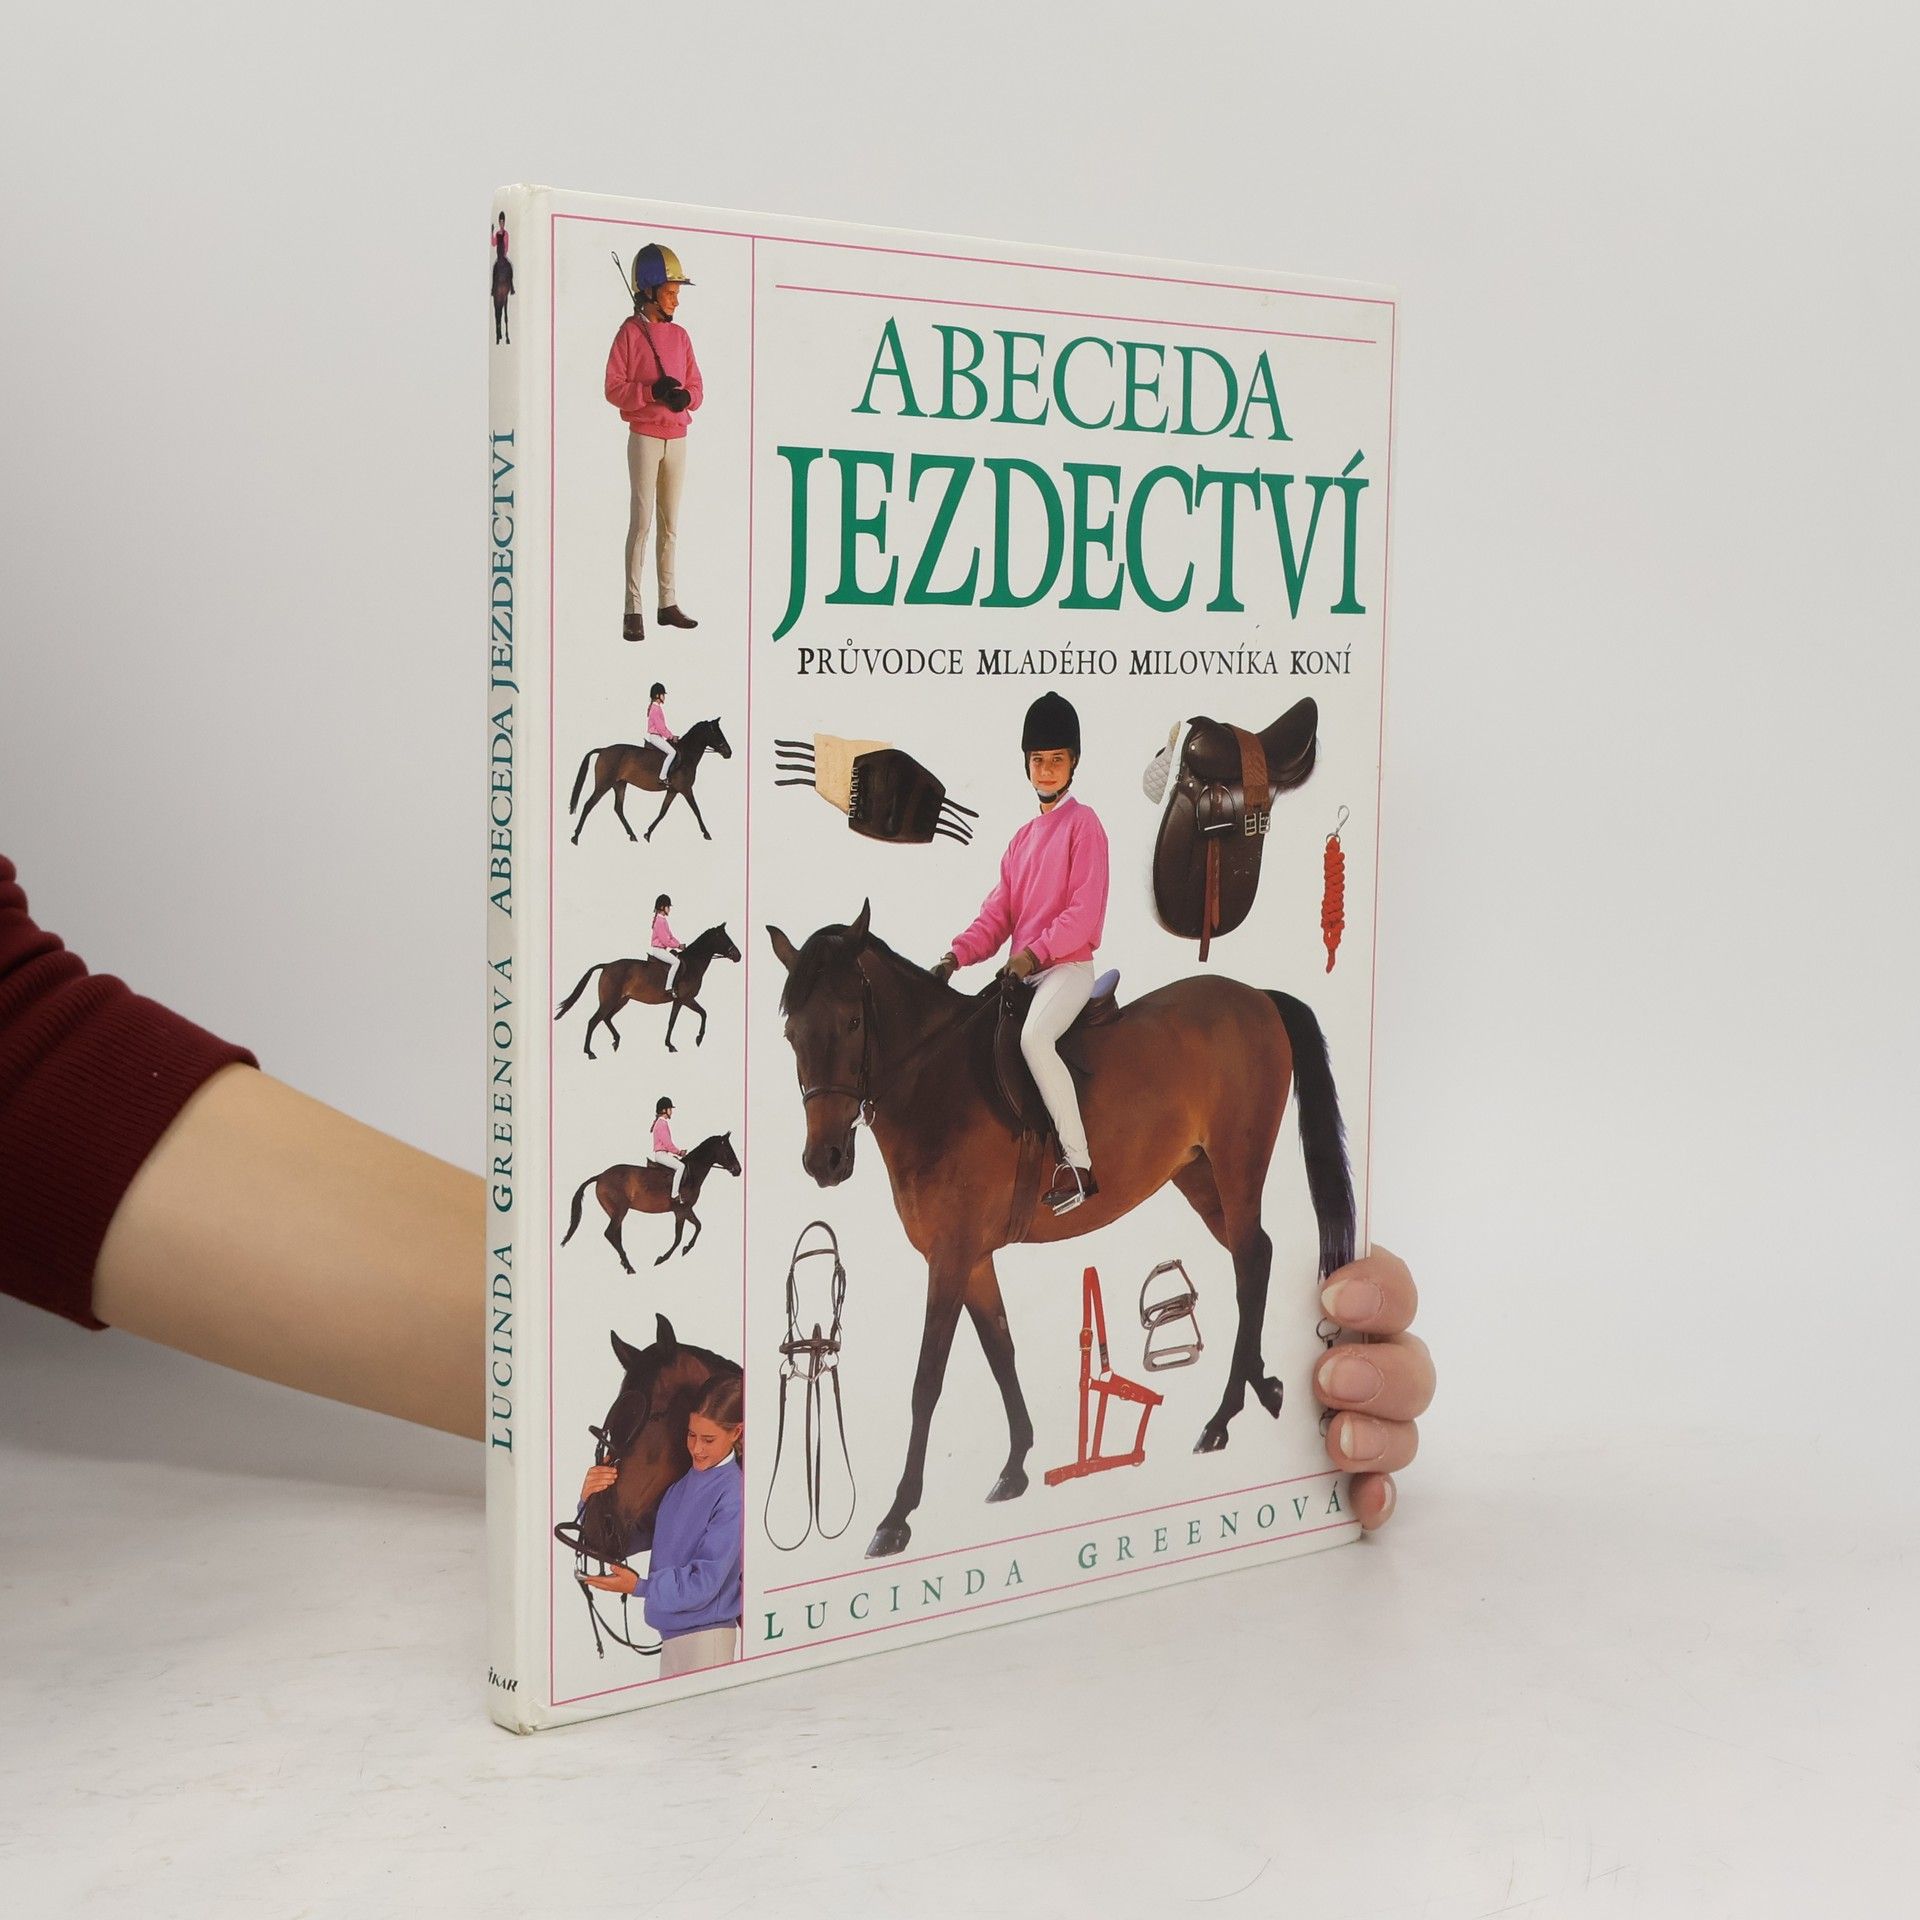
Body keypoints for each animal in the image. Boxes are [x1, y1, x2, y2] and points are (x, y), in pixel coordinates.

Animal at [554, 924, 743, 1055]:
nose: (738, 956)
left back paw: (616, 1041)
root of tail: (606, 965)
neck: (692, 964)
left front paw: (671, 1045)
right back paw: (589, 1052)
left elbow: (675, 1020)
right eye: (725, 938)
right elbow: (701, 1014)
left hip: (622, 1000)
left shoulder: (679, 1001)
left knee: (606, 1018)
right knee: (594, 1021)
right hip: (609, 1001)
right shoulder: (685, 999)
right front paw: (697, 1039)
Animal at [561, 1131, 743, 1270]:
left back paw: (625, 1264)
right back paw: (630, 1267)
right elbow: (678, 1237)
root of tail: (601, 1176)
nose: (738, 1170)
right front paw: (662, 1258)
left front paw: (686, 1249)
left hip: (614, 1212)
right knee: (610, 1233)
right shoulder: (680, 1211)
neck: (690, 1174)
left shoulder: (687, 1209)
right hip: (620, 1210)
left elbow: (698, 1226)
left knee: (615, 1235)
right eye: (728, 1151)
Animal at [568, 718, 733, 846]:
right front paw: (707, 834)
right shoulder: (686, 790)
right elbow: (696, 810)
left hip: (619, 784)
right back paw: (575, 837)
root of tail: (603, 750)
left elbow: (662, 812)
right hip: (604, 785)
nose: (729, 753)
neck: (687, 755)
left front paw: (647, 834)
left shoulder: (672, 790)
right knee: (589, 804)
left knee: (618, 808)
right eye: (717, 733)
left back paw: (632, 836)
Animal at [767, 902, 1353, 1559]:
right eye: (792, 1034)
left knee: (1251, 1262)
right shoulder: (972, 1260)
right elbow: (1001, 1350)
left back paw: (1222, 1416)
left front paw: (896, 1516)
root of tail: (1255, 997)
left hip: (1237, 1166)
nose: (824, 1161)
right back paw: (1261, 1387)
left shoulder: (949, 1258)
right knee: (1257, 1257)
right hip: (1199, 1177)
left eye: (850, 1021)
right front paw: (1015, 1467)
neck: (932, 1081)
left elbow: (927, 1380)